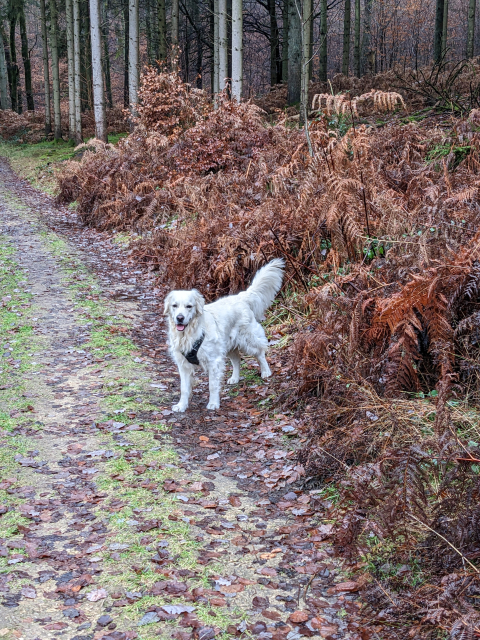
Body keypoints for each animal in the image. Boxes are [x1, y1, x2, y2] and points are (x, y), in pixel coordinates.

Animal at [165, 258, 284, 412]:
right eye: (174, 305)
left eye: (189, 306)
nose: (180, 318)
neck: (190, 333)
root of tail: (241, 297)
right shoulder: (183, 364)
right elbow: (184, 388)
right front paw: (182, 405)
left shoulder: (213, 361)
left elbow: (212, 385)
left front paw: (213, 403)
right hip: (228, 345)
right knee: (237, 359)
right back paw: (235, 378)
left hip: (248, 339)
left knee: (260, 353)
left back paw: (265, 372)